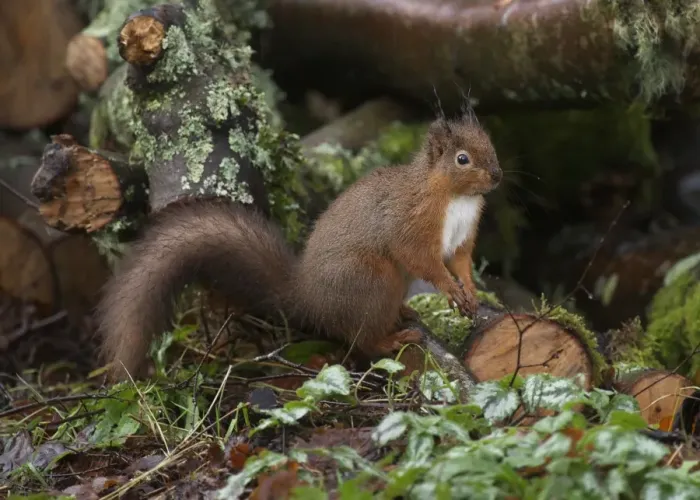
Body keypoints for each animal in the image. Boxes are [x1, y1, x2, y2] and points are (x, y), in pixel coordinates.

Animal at [96, 112, 502, 380]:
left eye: (491, 146)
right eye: (462, 159)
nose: (497, 176)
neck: (455, 197)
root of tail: (309, 299)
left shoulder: (463, 237)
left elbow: (461, 261)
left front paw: (471, 293)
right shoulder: (410, 224)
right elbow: (424, 262)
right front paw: (451, 290)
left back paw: (403, 313)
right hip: (372, 278)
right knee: (361, 339)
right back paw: (392, 339)